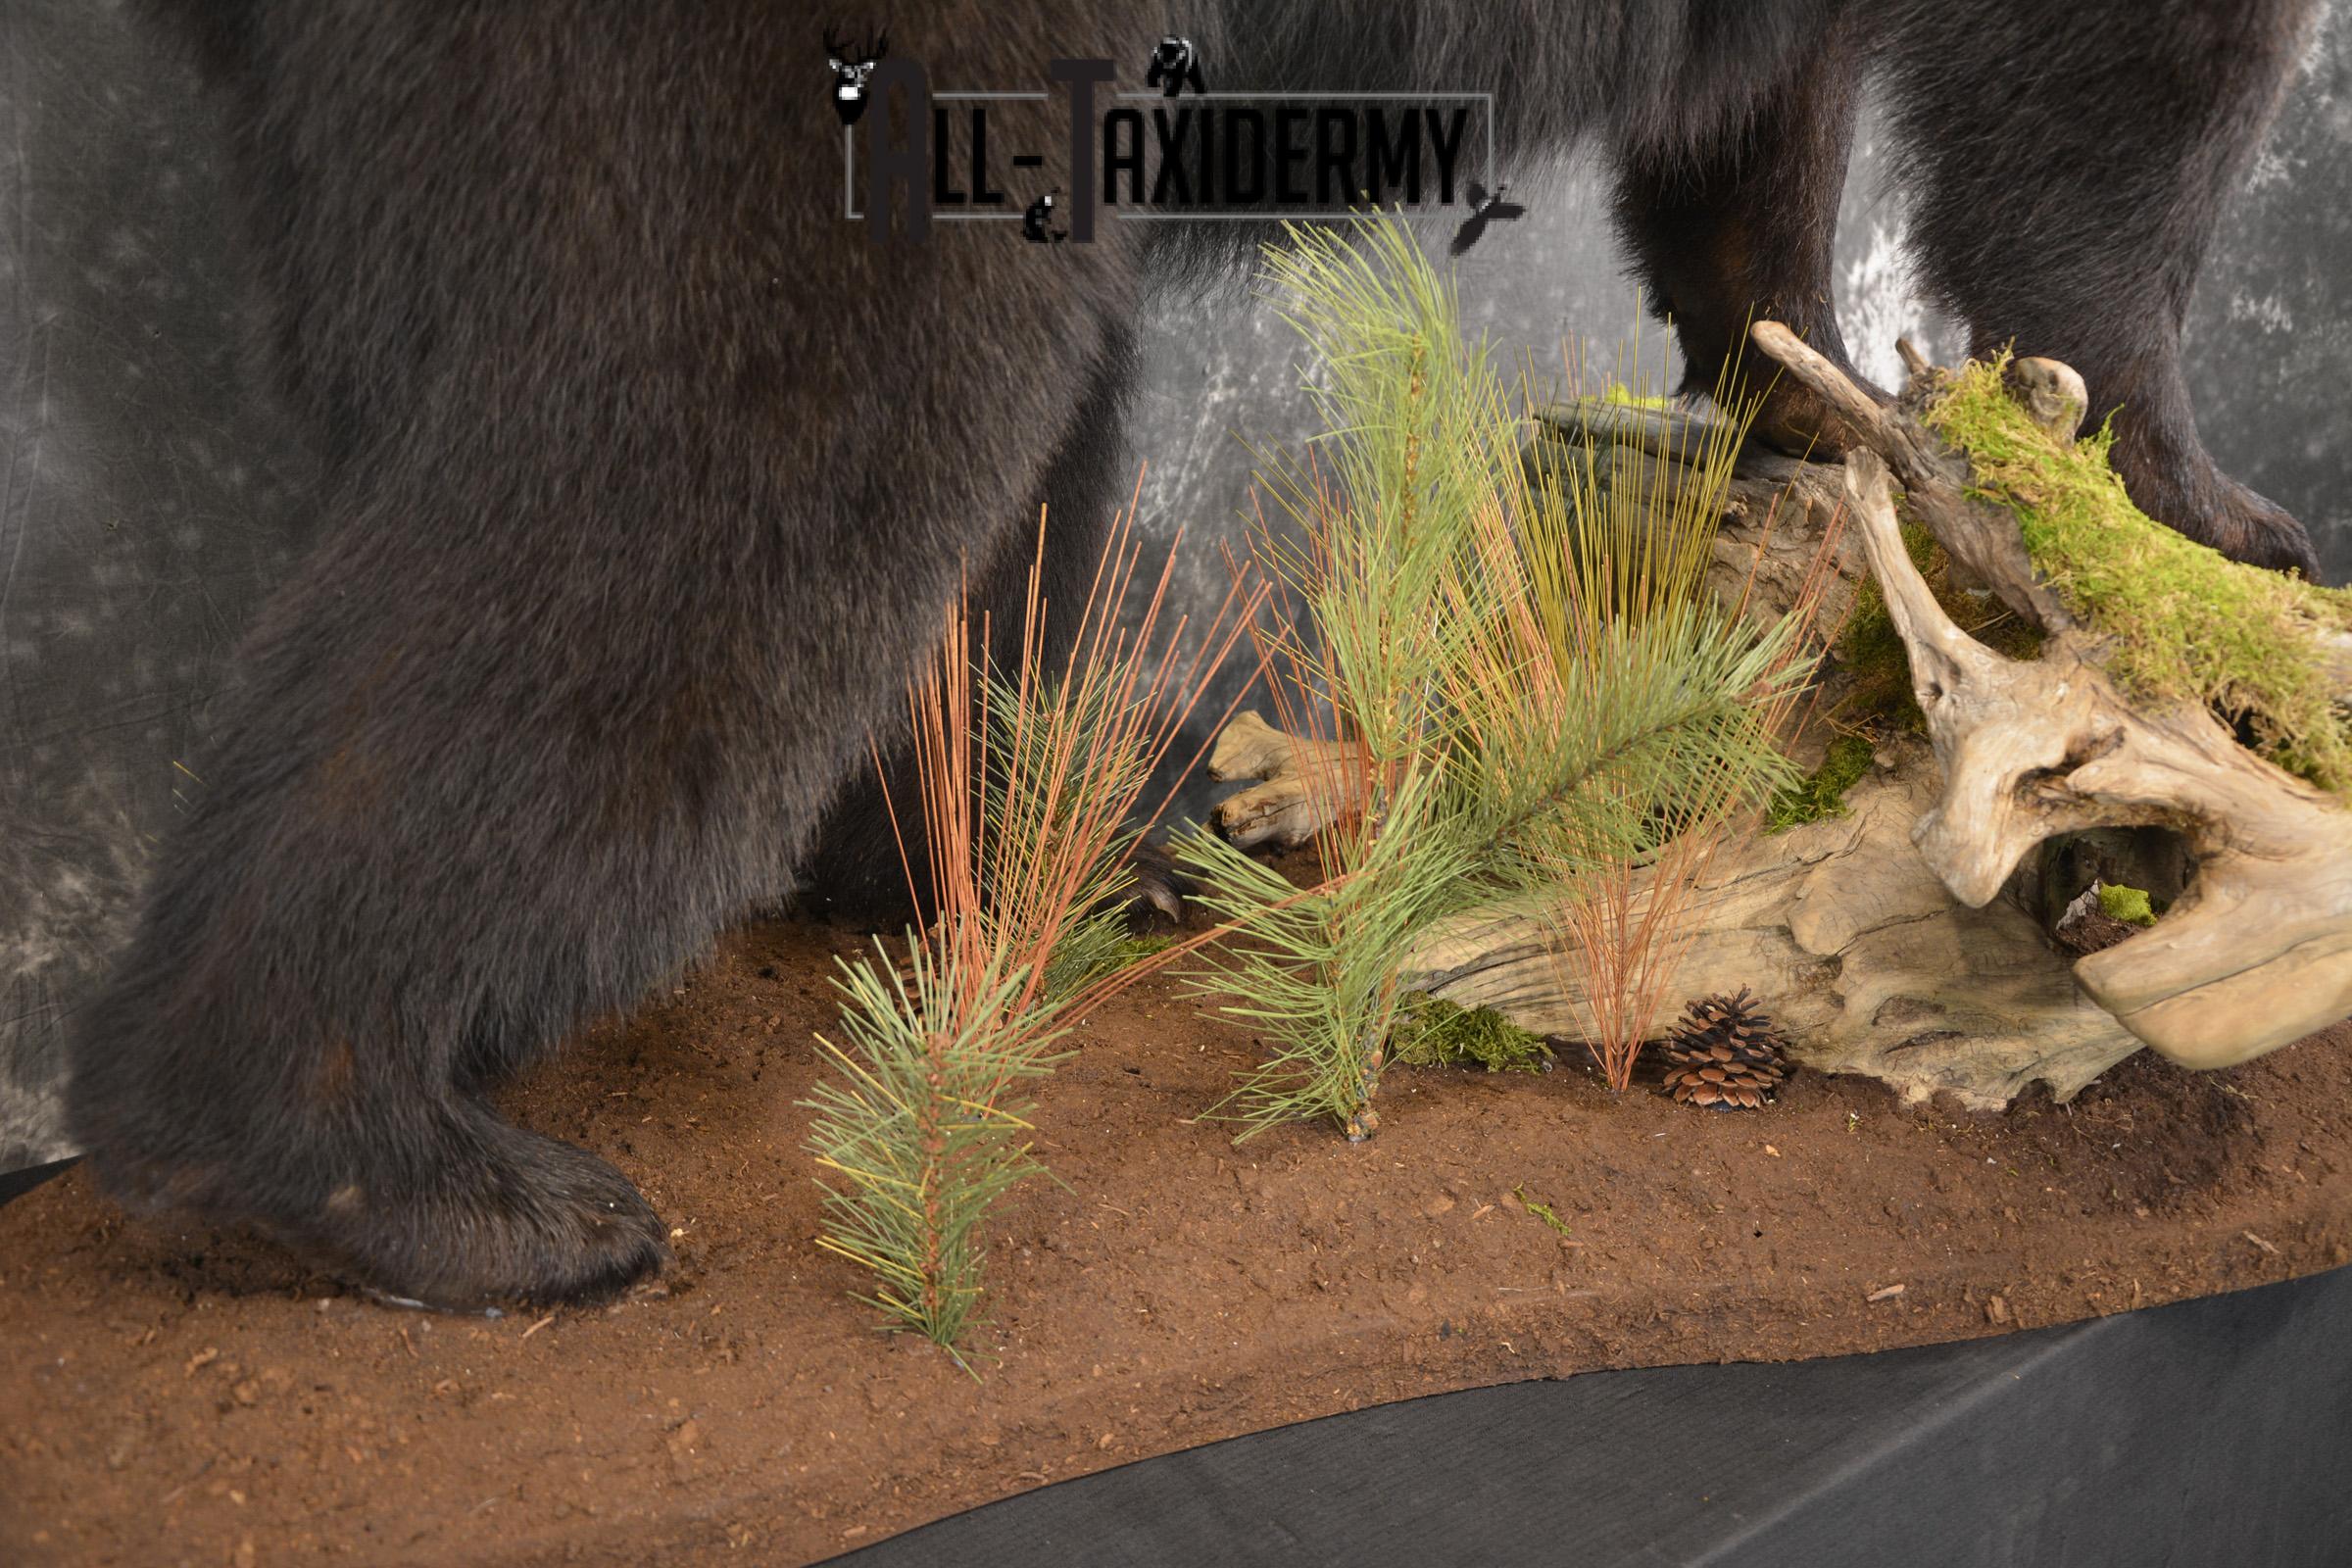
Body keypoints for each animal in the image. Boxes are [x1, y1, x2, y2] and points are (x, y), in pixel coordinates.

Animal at [67, 0, 2320, 1309]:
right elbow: (2127, 119)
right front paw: (2185, 512)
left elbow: (1771, 128)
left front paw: (1813, 384)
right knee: (706, 458)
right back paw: (403, 1173)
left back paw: (1078, 838)